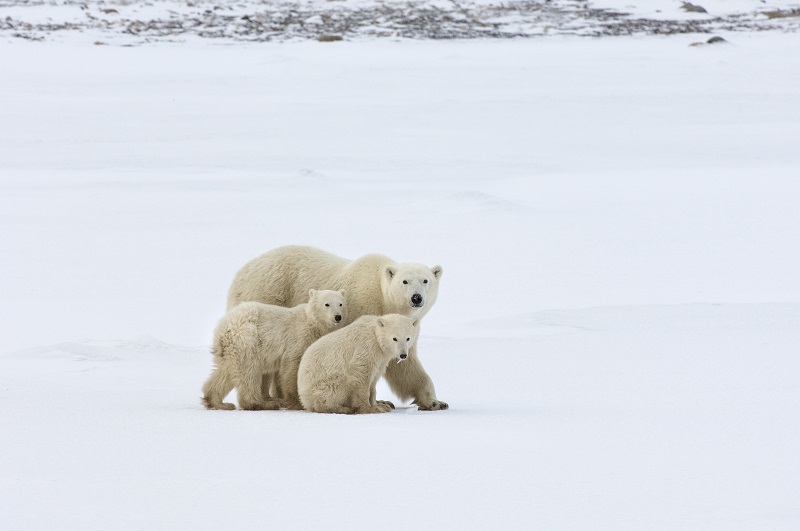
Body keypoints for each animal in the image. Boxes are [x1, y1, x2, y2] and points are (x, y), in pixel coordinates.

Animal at [202, 290, 346, 412]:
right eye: (327, 304)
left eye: (340, 303)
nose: (337, 317)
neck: (312, 323)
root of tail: (223, 327)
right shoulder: (297, 337)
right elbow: (292, 367)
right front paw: (296, 402)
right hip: (247, 339)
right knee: (249, 372)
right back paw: (263, 403)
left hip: (230, 348)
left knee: (224, 372)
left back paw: (218, 403)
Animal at [227, 245, 450, 412]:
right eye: (405, 281)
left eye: (426, 280)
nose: (416, 298)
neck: (383, 296)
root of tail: (240, 272)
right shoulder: (364, 307)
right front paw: (377, 401)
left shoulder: (407, 324)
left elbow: (405, 364)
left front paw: (435, 402)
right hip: (268, 294)